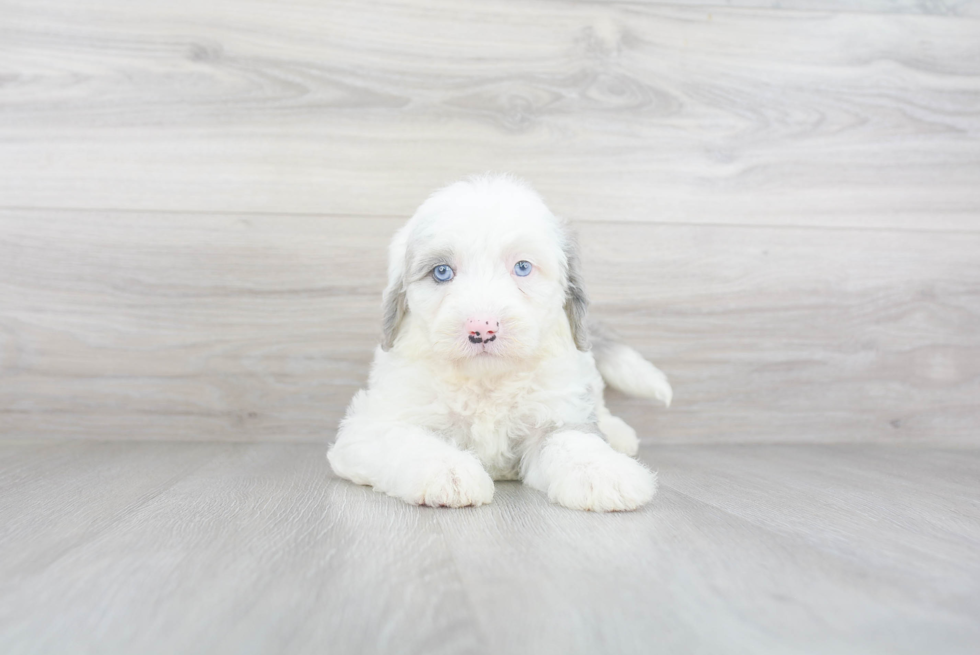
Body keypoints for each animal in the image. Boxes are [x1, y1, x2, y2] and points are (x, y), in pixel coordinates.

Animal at [330, 174, 672, 512]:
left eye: (522, 267)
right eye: (441, 271)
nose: (482, 328)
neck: (486, 382)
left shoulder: (555, 410)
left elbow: (573, 439)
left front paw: (603, 471)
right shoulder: (376, 423)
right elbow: (407, 440)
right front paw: (448, 471)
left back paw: (618, 433)